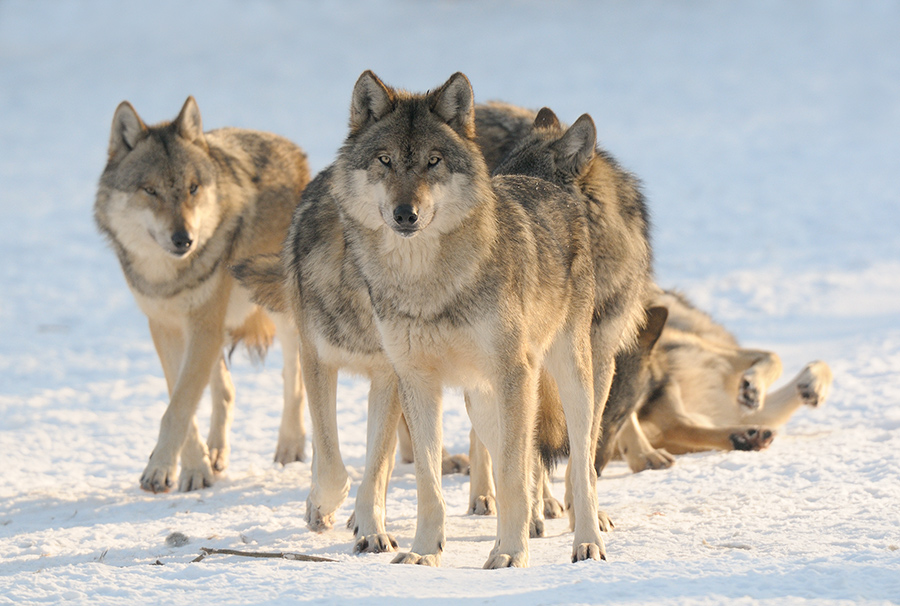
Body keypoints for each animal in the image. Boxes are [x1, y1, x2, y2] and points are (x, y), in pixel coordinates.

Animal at [94, 96, 310, 493]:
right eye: (150, 191)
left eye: (193, 188)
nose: (185, 239)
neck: (169, 276)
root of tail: (290, 147)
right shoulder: (166, 327)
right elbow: (181, 401)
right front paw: (191, 467)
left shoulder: (202, 324)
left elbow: (179, 406)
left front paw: (166, 468)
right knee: (225, 388)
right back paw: (217, 453)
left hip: (278, 309)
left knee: (294, 374)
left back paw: (290, 446)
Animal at [610, 288, 834, 472]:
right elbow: (774, 356)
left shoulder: (733, 407)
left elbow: (780, 358)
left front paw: (811, 386)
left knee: (678, 424)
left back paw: (747, 437)